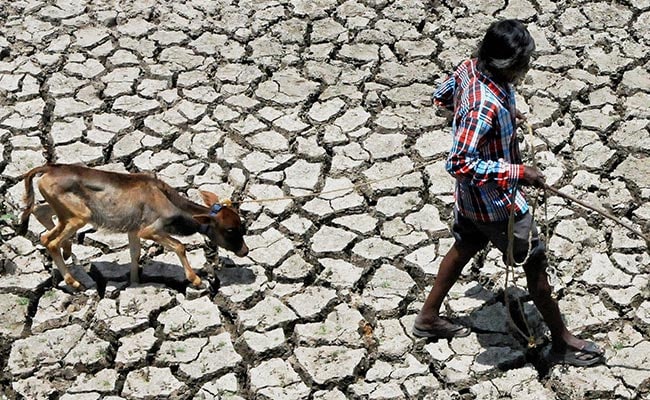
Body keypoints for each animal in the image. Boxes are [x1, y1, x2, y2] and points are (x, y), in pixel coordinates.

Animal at [18, 164, 248, 290]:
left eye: (240, 224)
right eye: (230, 229)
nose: (245, 250)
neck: (169, 200)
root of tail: (49, 167)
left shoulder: (133, 230)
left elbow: (134, 254)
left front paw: (135, 281)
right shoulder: (150, 229)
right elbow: (179, 246)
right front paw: (195, 279)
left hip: (64, 211)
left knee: (41, 217)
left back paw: (67, 249)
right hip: (81, 216)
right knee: (50, 240)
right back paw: (72, 280)